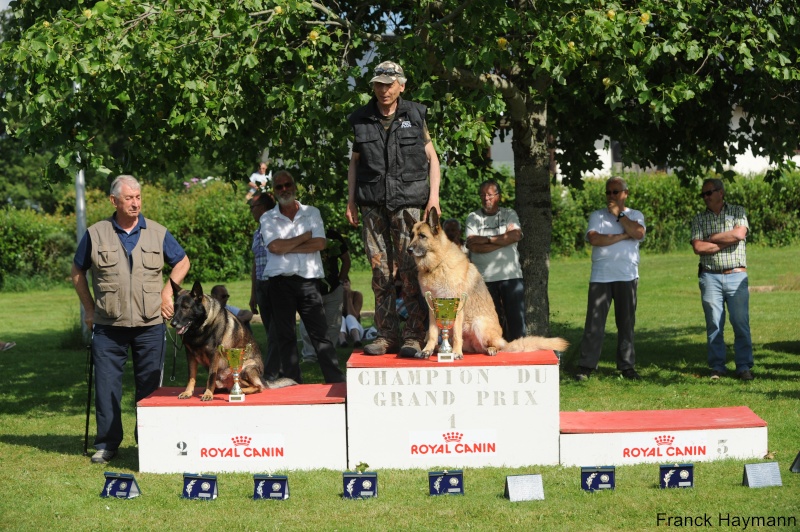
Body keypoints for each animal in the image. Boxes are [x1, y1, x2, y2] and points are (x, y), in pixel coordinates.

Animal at [406, 208, 568, 358]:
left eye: (422, 236)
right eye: (411, 236)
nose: (408, 250)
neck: (437, 264)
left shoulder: (456, 306)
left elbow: (457, 334)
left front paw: (456, 353)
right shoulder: (433, 307)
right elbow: (433, 332)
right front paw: (427, 350)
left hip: (479, 324)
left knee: (498, 346)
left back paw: (489, 349)